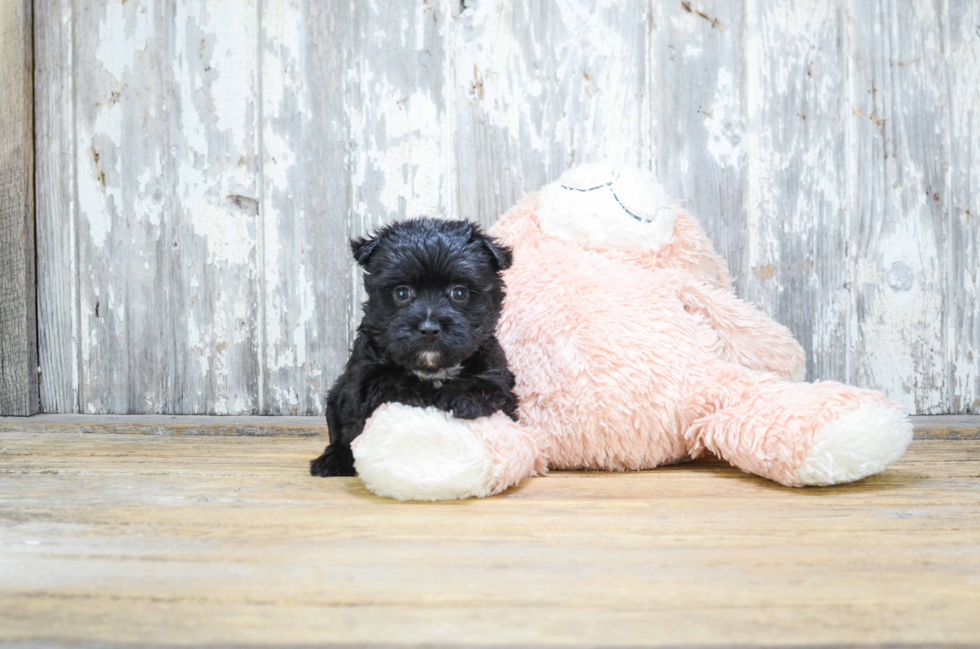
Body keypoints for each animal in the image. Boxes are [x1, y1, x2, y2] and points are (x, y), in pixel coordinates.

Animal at [310, 218, 516, 476]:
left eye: (459, 293)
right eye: (402, 293)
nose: (428, 328)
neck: (432, 367)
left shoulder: (495, 372)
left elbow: (487, 387)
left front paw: (465, 400)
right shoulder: (364, 377)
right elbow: (390, 385)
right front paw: (424, 395)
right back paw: (333, 460)